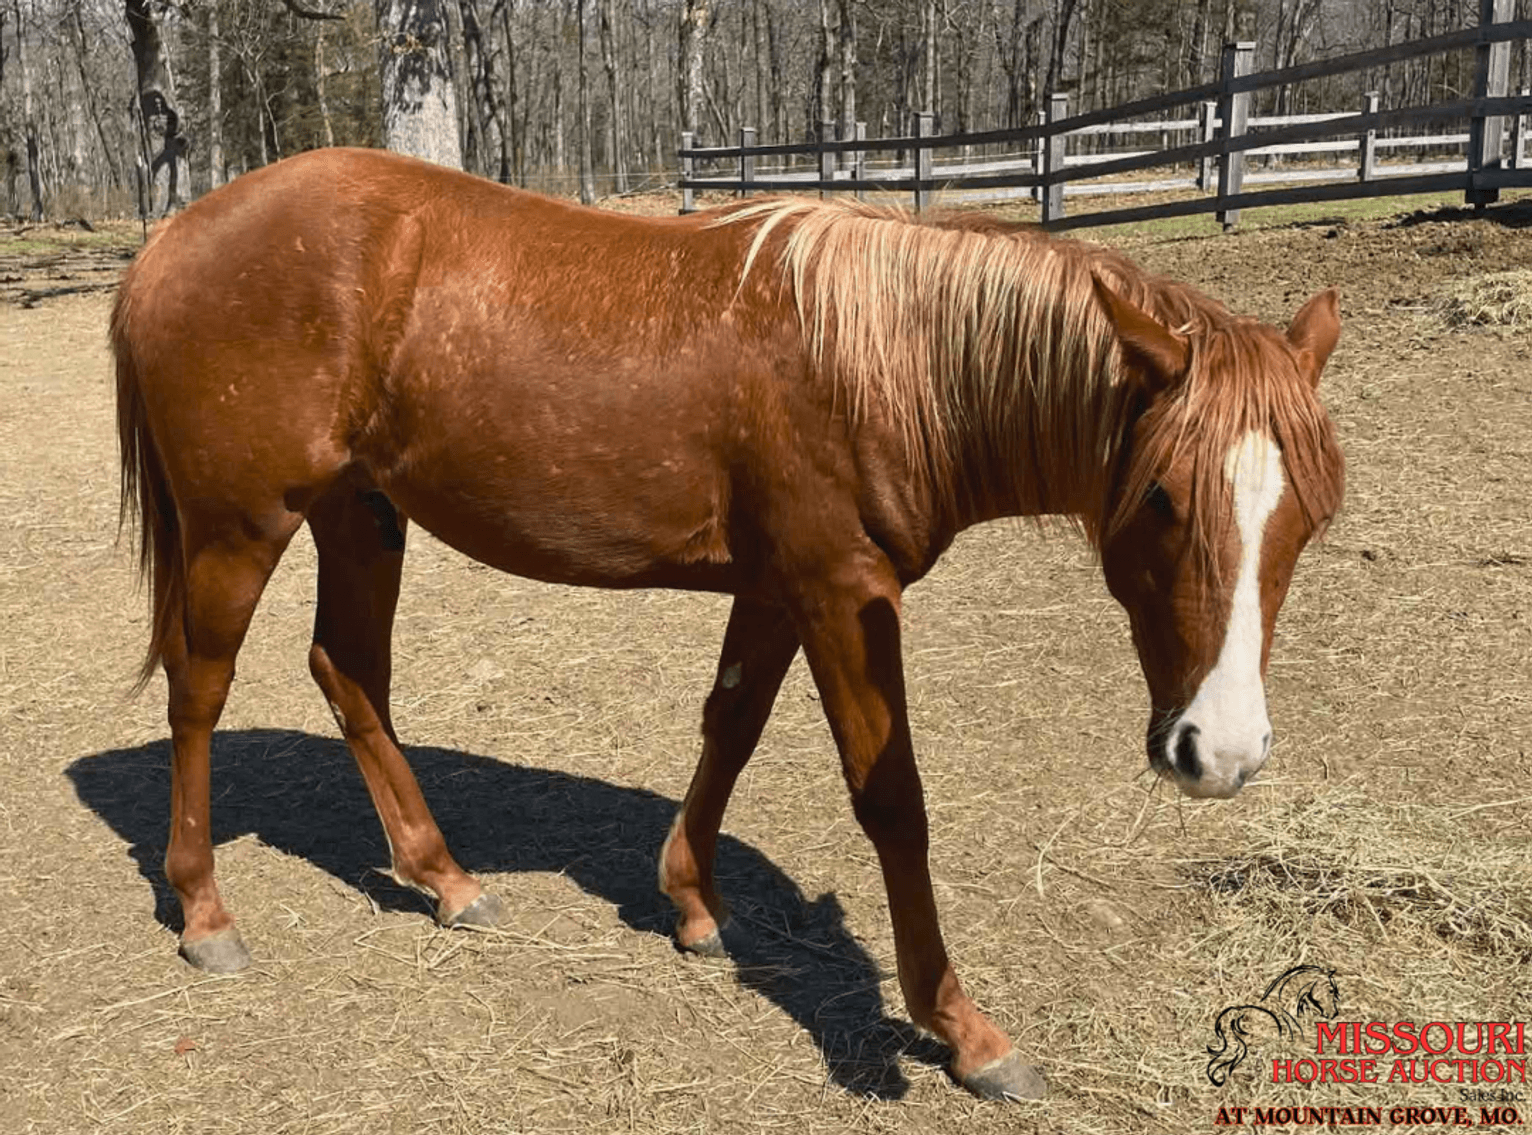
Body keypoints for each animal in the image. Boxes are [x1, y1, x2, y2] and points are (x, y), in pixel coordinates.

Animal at [112, 147, 1345, 1102]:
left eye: (1309, 515)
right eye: (1161, 498)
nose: (1223, 752)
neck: (882, 362)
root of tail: (171, 241)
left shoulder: (775, 589)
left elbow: (731, 726)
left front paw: (691, 900)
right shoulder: (841, 590)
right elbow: (892, 802)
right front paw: (963, 1029)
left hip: (360, 515)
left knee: (349, 670)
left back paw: (443, 877)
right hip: (241, 526)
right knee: (201, 689)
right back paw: (204, 910)